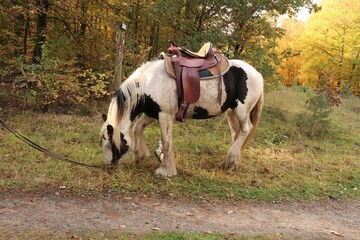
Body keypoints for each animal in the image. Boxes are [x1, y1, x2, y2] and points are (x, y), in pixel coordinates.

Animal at [100, 58, 262, 178]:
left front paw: (164, 171)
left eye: (108, 145)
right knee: (236, 133)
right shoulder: (153, 113)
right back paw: (230, 163)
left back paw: (231, 158)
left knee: (245, 130)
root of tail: (258, 74)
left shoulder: (164, 115)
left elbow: (166, 142)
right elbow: (137, 128)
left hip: (241, 111)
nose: (109, 166)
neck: (149, 82)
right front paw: (141, 155)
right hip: (231, 112)